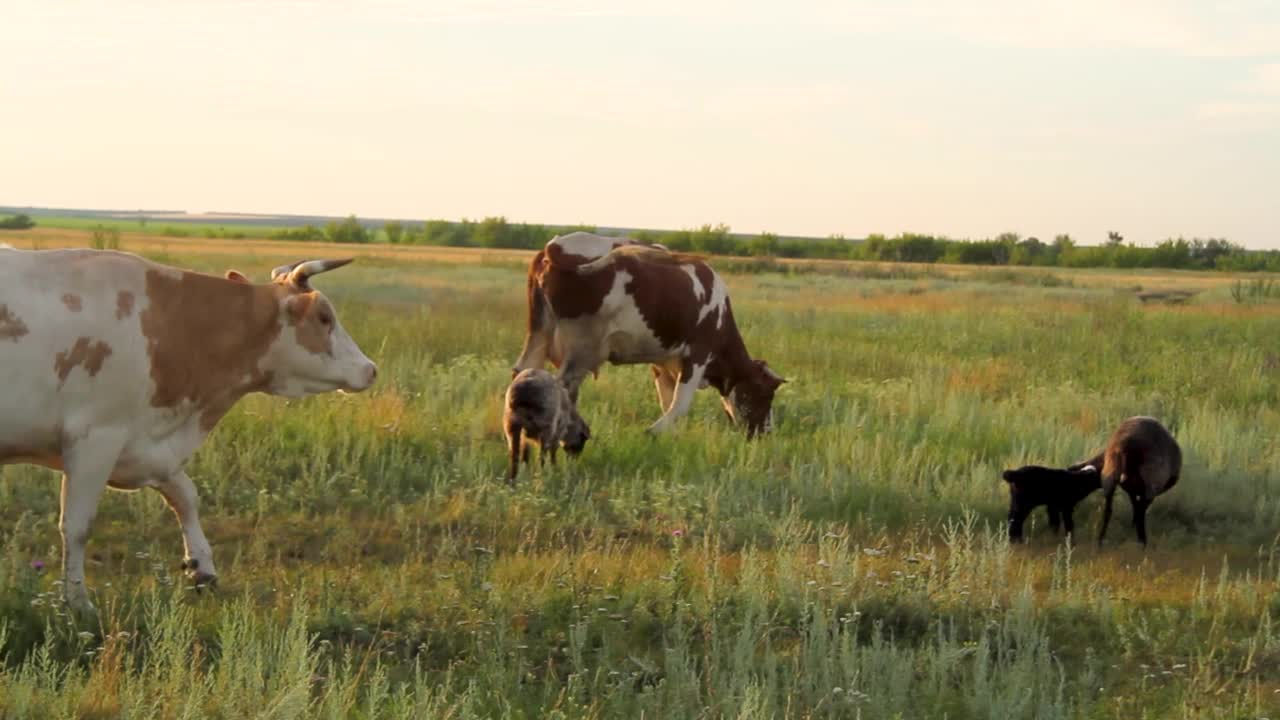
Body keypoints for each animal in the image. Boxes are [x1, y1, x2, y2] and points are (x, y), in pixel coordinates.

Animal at [0, 248, 376, 609]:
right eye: (324, 317)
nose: (370, 369)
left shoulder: (145, 449)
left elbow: (185, 495)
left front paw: (201, 567)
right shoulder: (95, 438)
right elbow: (77, 526)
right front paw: (78, 602)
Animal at [509, 233, 778, 435]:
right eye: (765, 394)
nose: (765, 433)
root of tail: (556, 245)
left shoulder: (665, 360)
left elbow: (667, 400)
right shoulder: (698, 352)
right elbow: (679, 404)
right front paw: (652, 433)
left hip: (539, 332)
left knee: (522, 373)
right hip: (583, 348)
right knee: (562, 387)